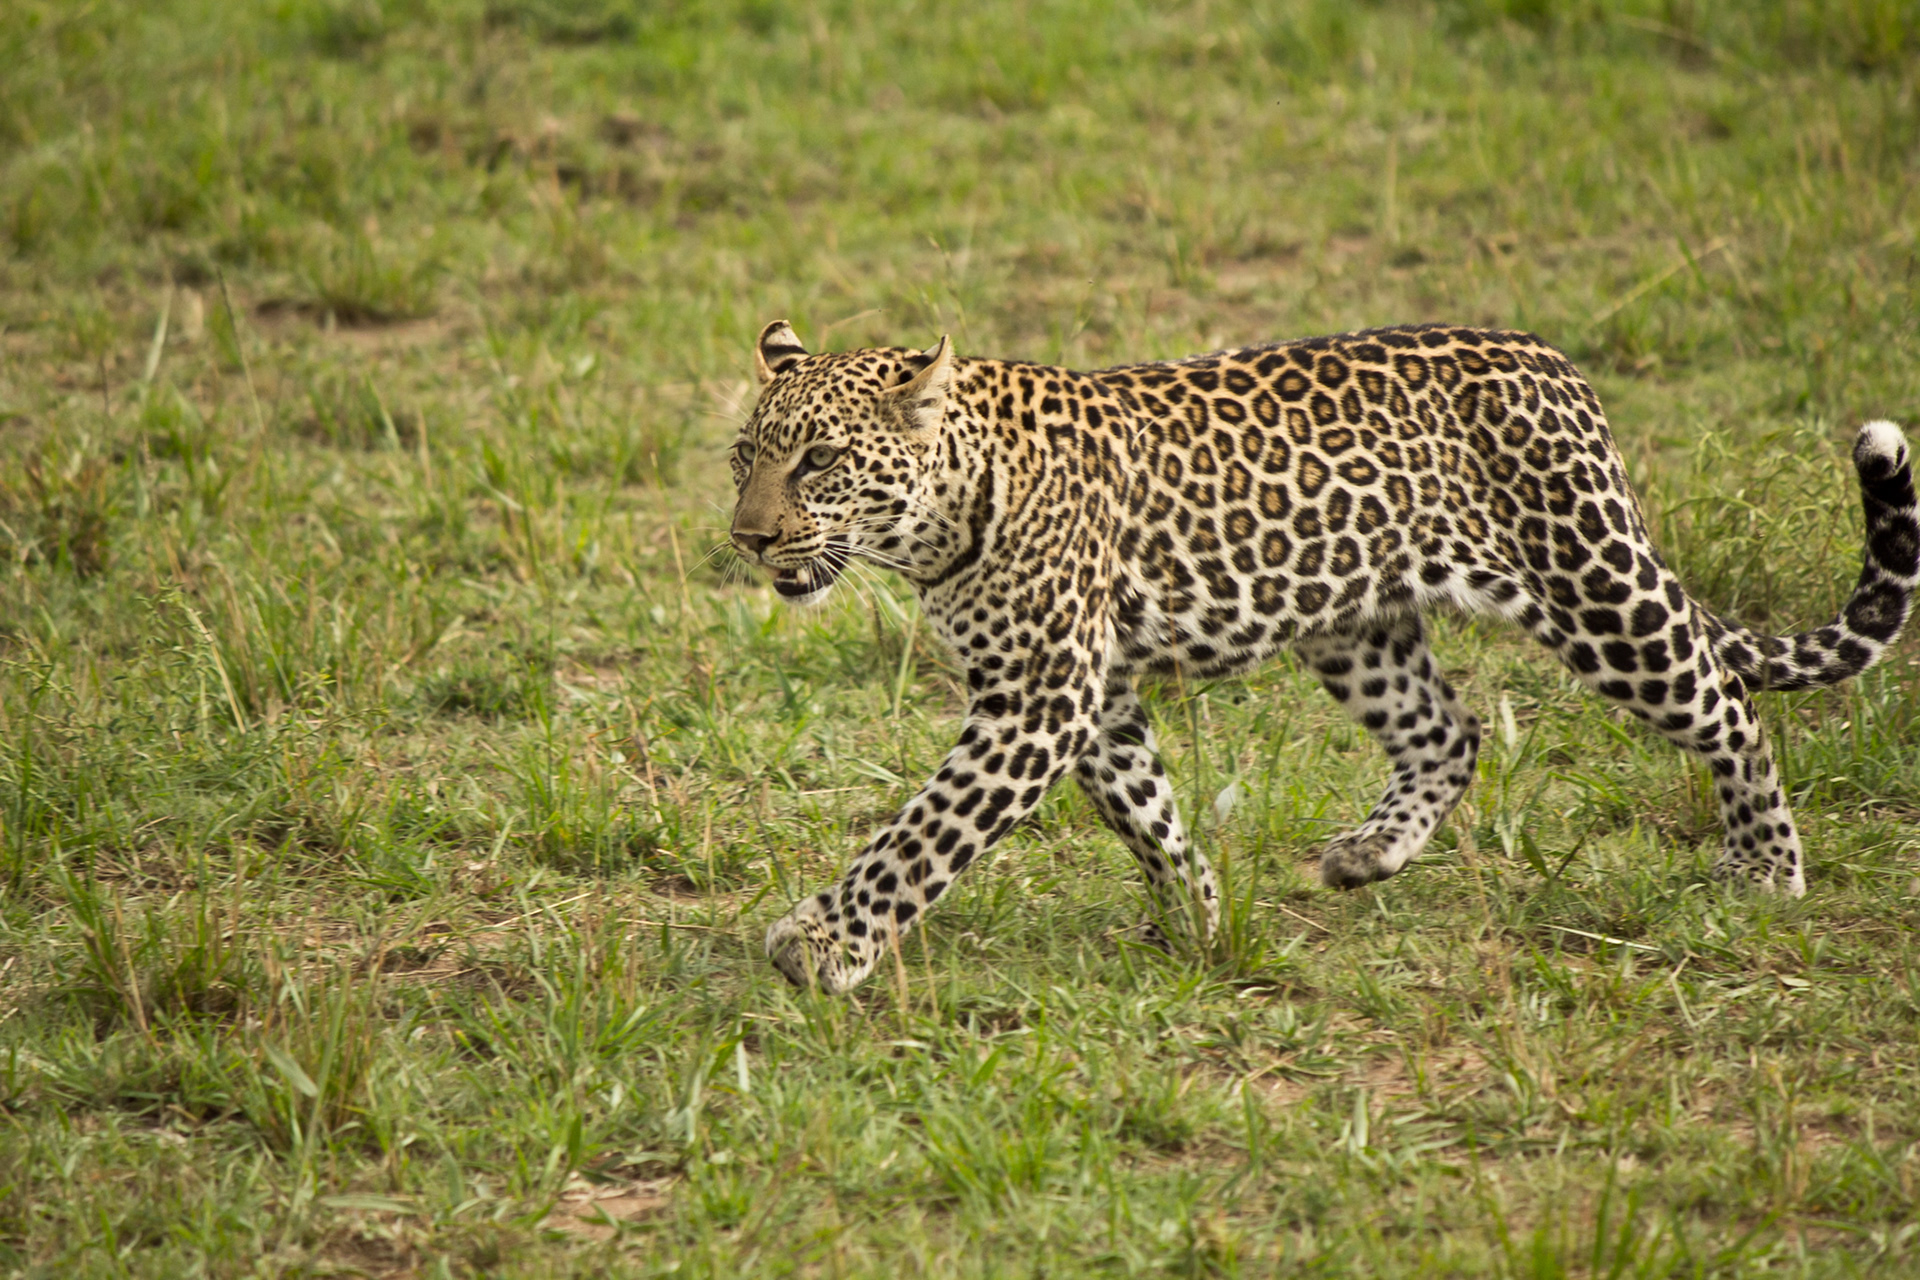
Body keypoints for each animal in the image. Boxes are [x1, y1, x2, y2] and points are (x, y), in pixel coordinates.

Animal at [729, 318, 1919, 994]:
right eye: (745, 456)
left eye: (820, 459)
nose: (748, 536)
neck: (939, 520)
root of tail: (1556, 364)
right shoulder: (1089, 696)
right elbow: (1144, 810)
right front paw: (1200, 917)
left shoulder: (1039, 696)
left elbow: (923, 833)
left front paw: (823, 944)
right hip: (1358, 619)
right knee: (1451, 729)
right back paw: (1369, 853)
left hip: (1592, 586)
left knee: (1729, 701)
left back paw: (1766, 870)